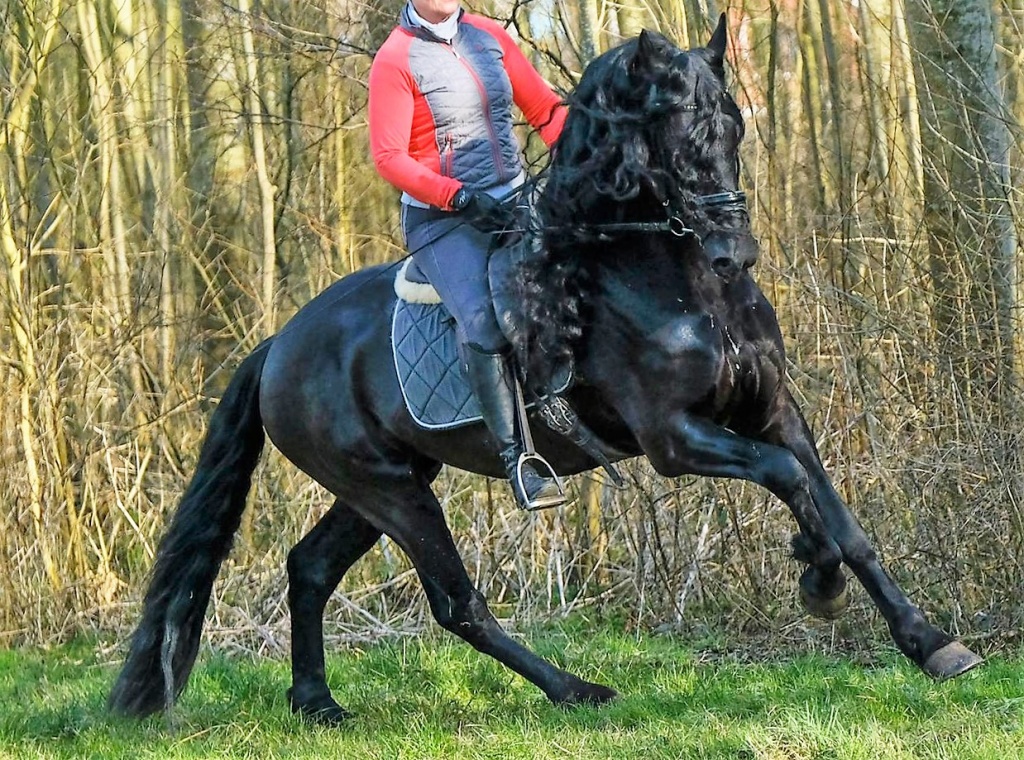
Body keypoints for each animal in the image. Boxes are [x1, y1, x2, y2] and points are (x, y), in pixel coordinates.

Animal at [108, 17, 981, 725]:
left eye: (732, 128)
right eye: (675, 137)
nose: (735, 253)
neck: (670, 279)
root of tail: (277, 345)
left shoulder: (774, 412)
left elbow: (839, 514)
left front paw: (929, 641)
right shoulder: (675, 440)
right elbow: (787, 481)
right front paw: (817, 579)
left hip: (386, 483)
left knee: (311, 567)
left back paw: (317, 702)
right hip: (389, 490)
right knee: (457, 604)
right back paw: (575, 690)